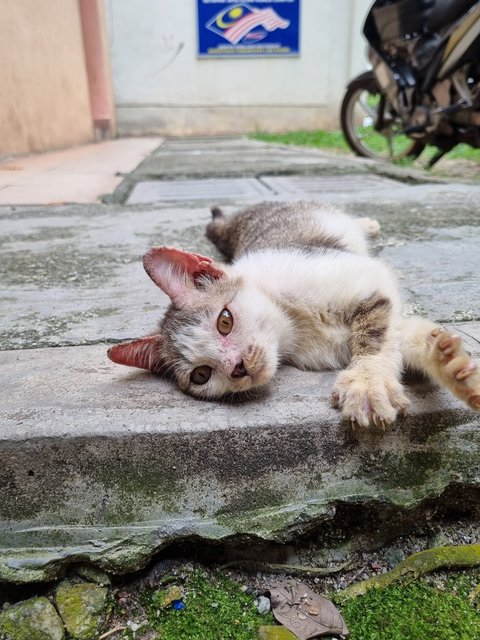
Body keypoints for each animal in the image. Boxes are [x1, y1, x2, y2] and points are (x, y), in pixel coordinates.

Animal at [109, 200, 480, 430]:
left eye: (224, 321)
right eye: (201, 375)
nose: (237, 367)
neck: (292, 326)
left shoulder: (365, 276)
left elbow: (377, 335)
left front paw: (369, 382)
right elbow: (403, 336)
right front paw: (449, 364)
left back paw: (367, 223)